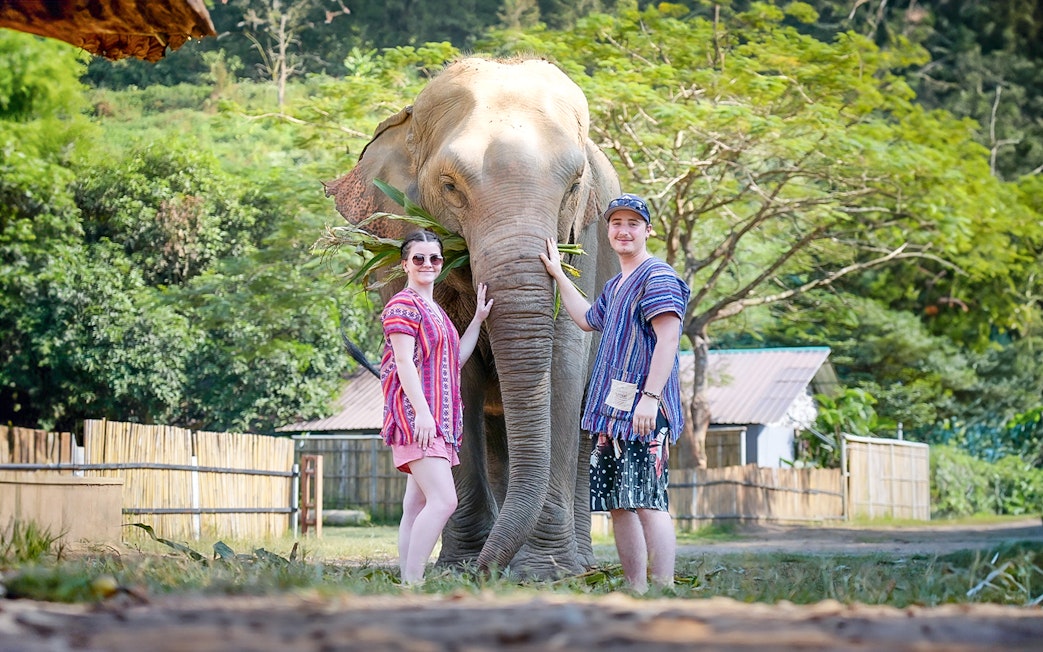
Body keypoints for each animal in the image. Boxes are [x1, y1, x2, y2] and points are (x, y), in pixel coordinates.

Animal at [325, 56, 621, 578]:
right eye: (450, 186)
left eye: (572, 187)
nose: (489, 573)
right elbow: (452, 371)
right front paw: (459, 567)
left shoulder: (585, 239)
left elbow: (563, 364)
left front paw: (541, 572)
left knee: (584, 419)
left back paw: (580, 564)